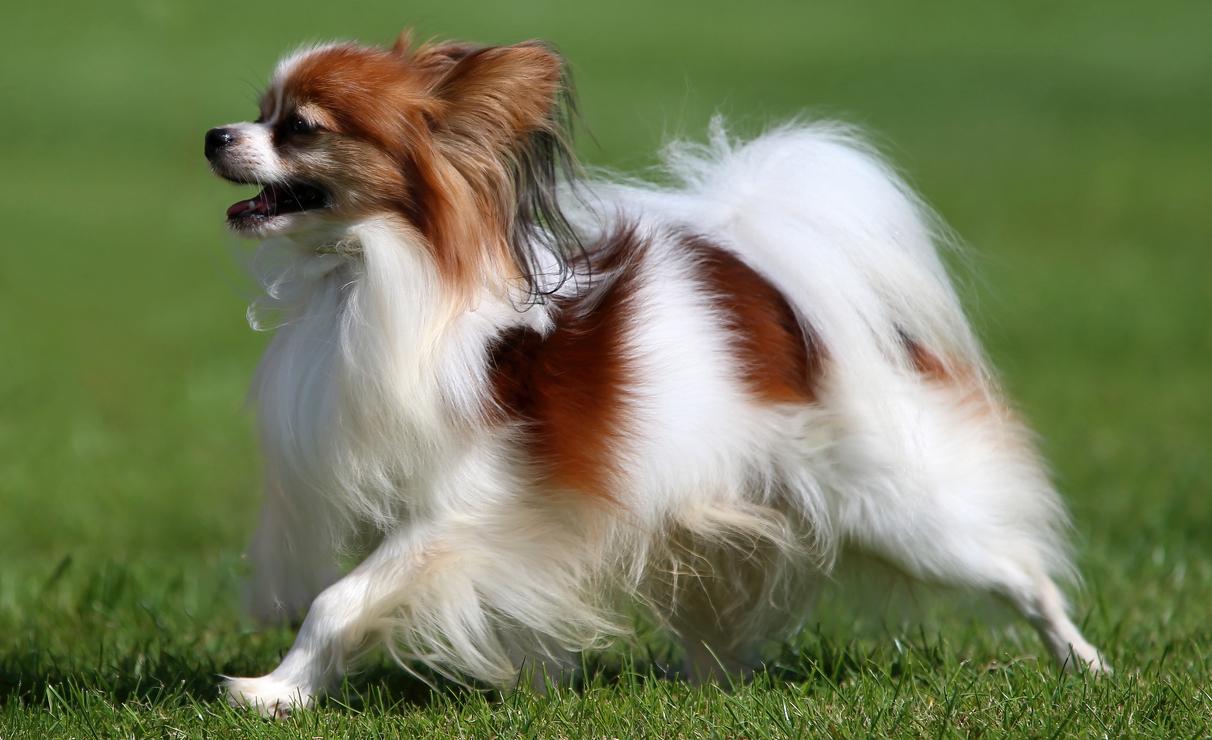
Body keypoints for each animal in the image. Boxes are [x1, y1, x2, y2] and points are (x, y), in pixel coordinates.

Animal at [206, 30, 1110, 716]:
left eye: (300, 127)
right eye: (257, 112)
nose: (215, 136)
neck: (365, 275)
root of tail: (782, 290)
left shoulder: (461, 514)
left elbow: (337, 603)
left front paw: (270, 691)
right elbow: (358, 601)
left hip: (900, 511)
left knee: (1021, 570)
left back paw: (1085, 660)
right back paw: (703, 687)